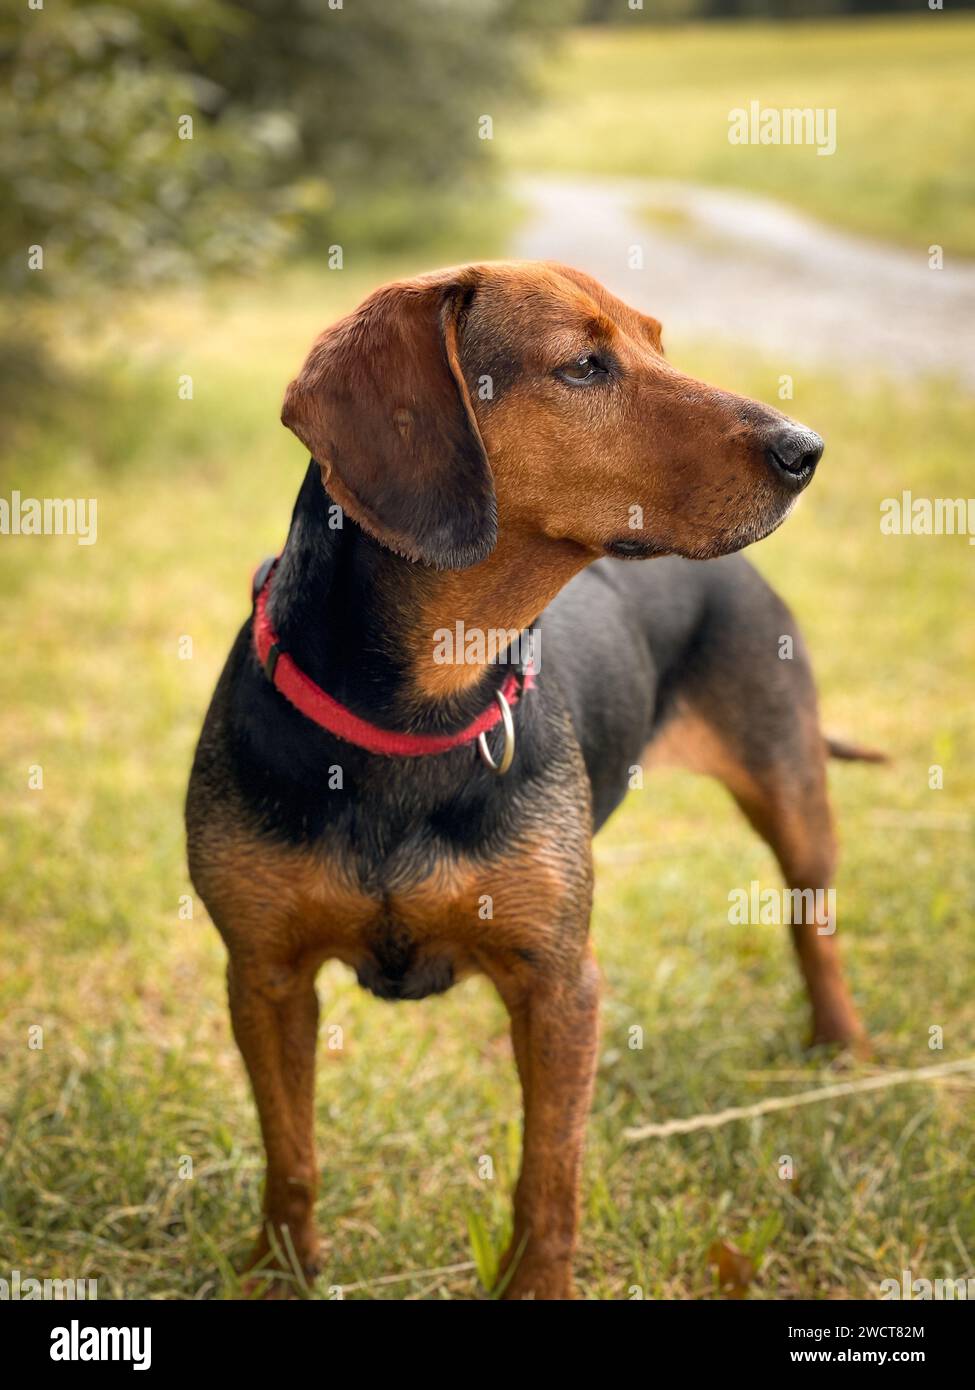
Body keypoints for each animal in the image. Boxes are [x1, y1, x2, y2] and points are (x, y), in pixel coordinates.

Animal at [184, 262, 873, 1301]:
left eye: (657, 345)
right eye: (584, 366)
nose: (809, 449)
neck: (417, 716)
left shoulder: (558, 984)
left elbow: (549, 1172)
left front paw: (536, 1283)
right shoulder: (264, 977)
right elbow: (290, 1154)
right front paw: (279, 1272)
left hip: (791, 792)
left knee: (811, 926)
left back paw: (841, 1048)